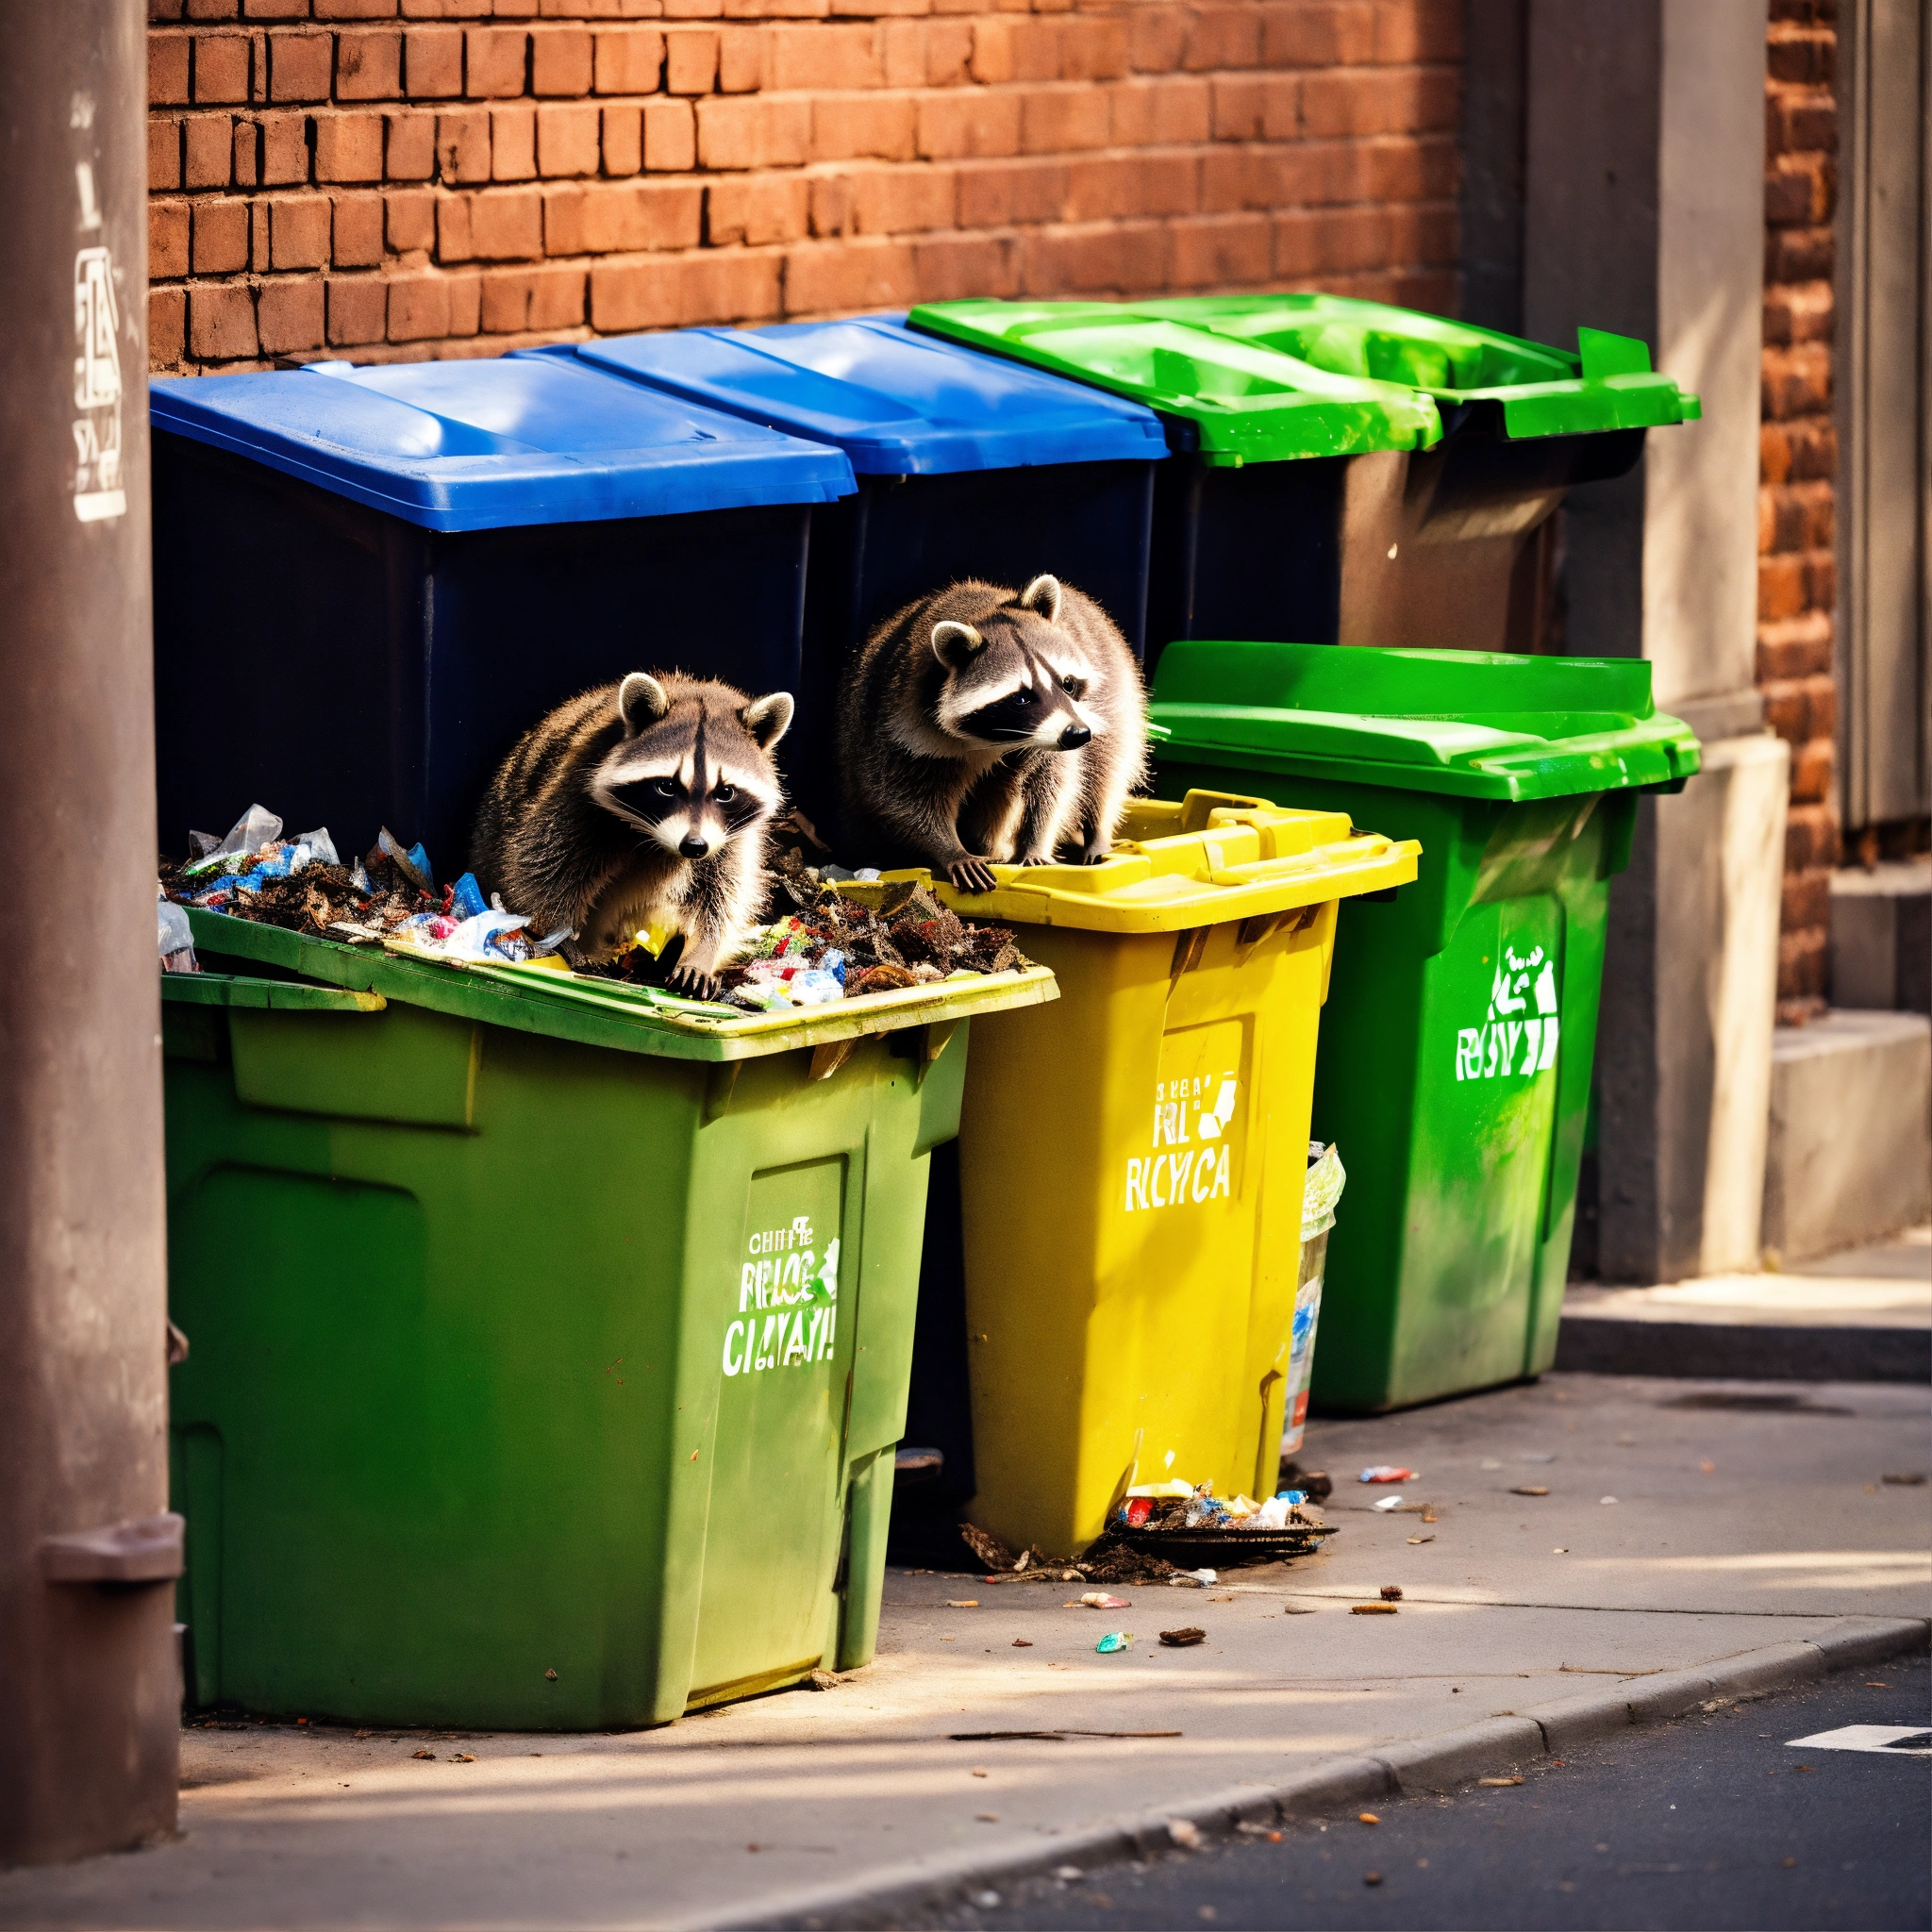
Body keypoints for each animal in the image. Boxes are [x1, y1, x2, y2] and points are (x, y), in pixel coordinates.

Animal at [470, 671, 793, 998]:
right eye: (667, 786)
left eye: (726, 792)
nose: (694, 846)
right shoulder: (576, 791)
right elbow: (543, 872)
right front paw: (559, 934)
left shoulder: (730, 837)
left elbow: (724, 894)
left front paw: (702, 950)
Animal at [838, 575, 1147, 893]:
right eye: (1021, 698)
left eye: (1068, 684)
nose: (1077, 734)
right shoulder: (895, 723)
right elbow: (901, 799)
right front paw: (951, 849)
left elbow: (1054, 785)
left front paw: (1036, 842)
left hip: (1114, 696)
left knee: (1106, 766)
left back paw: (1096, 831)